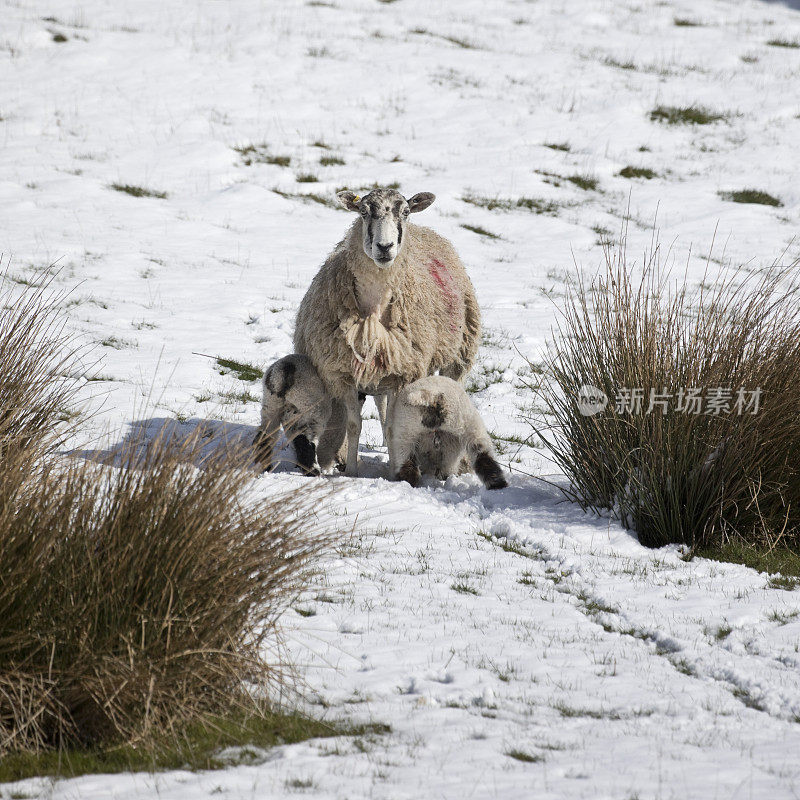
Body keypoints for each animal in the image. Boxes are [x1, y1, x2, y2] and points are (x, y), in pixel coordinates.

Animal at [294, 188, 482, 476]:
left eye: (405, 212)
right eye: (363, 212)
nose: (384, 247)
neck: (373, 311)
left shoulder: (403, 374)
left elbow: (396, 426)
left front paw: (395, 471)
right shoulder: (344, 374)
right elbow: (355, 425)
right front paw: (352, 470)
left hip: (459, 353)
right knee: (380, 405)